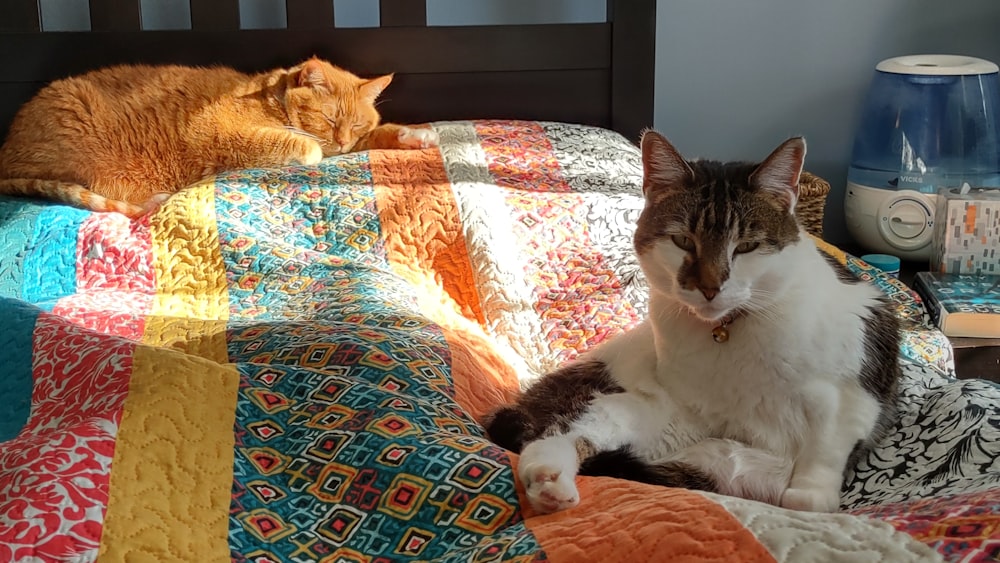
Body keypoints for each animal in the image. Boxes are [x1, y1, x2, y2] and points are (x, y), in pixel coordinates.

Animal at [0, 56, 438, 216]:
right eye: (330, 119)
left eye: (356, 124)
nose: (344, 140)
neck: (269, 98)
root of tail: (6, 151)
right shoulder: (215, 131)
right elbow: (299, 143)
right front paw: (308, 147)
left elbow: (382, 135)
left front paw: (415, 135)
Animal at [488, 131, 904, 516]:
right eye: (683, 241)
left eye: (746, 246)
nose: (710, 287)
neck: (730, 331)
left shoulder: (855, 378)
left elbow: (825, 447)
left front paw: (810, 495)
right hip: (631, 407)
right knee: (564, 433)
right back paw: (548, 481)